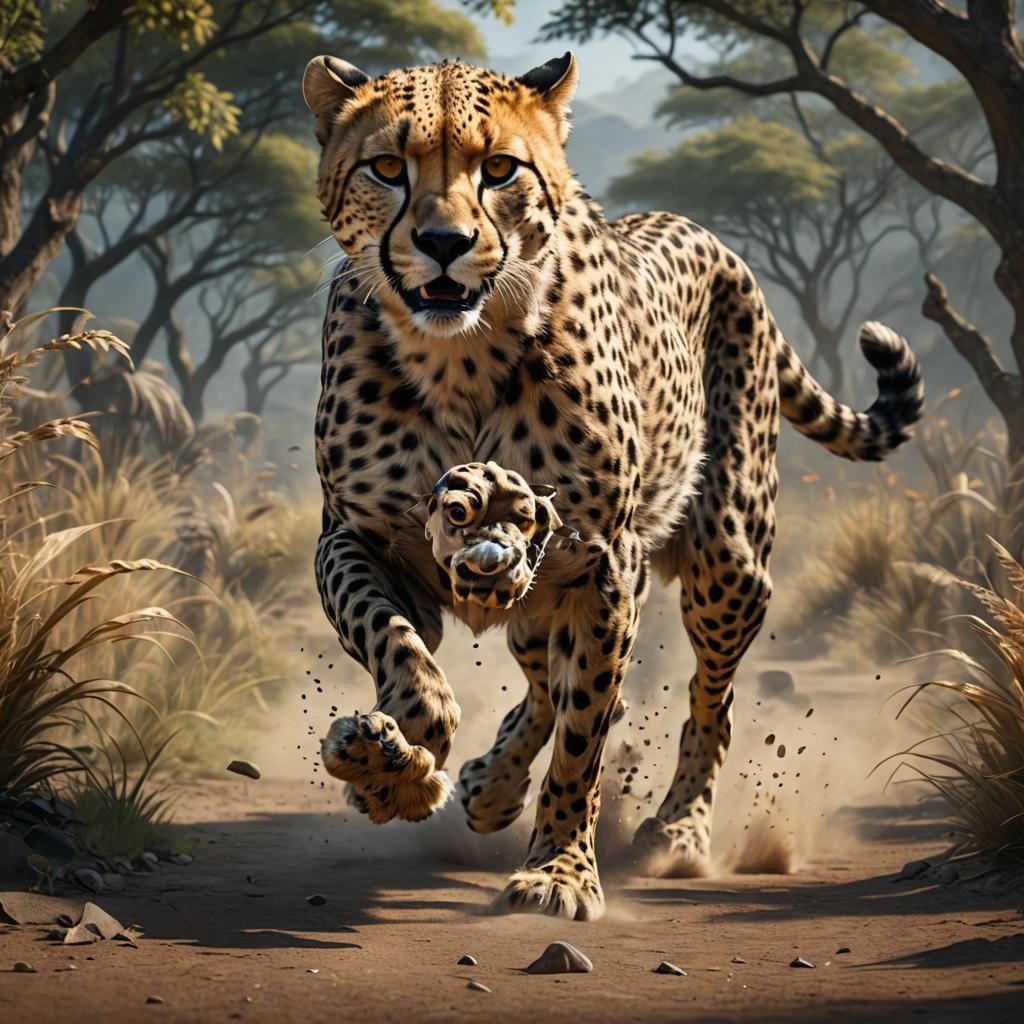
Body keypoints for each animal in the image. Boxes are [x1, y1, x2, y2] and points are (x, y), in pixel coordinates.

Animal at [303, 51, 924, 921]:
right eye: (387, 168)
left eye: (500, 169)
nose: (444, 243)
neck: (457, 358)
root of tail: (702, 232)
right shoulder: (358, 538)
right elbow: (393, 642)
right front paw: (397, 756)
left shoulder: (602, 565)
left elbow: (584, 738)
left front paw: (559, 871)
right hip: (550, 600)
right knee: (547, 682)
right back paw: (488, 783)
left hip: (727, 566)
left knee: (706, 702)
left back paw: (679, 832)